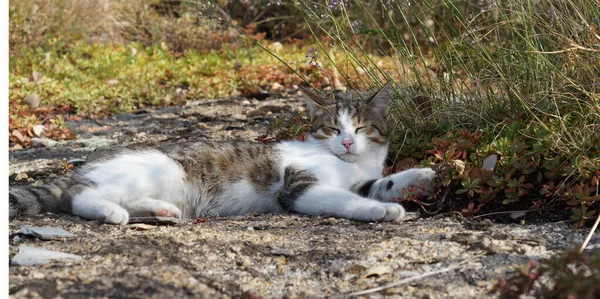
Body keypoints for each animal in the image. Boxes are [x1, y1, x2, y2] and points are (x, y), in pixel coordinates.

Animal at [7, 82, 434, 225]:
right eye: (333, 128)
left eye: (360, 129)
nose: (346, 142)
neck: (346, 163)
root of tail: (85, 165)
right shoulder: (297, 187)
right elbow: (342, 199)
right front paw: (381, 211)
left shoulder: (362, 177)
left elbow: (380, 183)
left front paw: (421, 176)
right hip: (160, 169)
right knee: (81, 195)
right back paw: (111, 212)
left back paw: (161, 210)